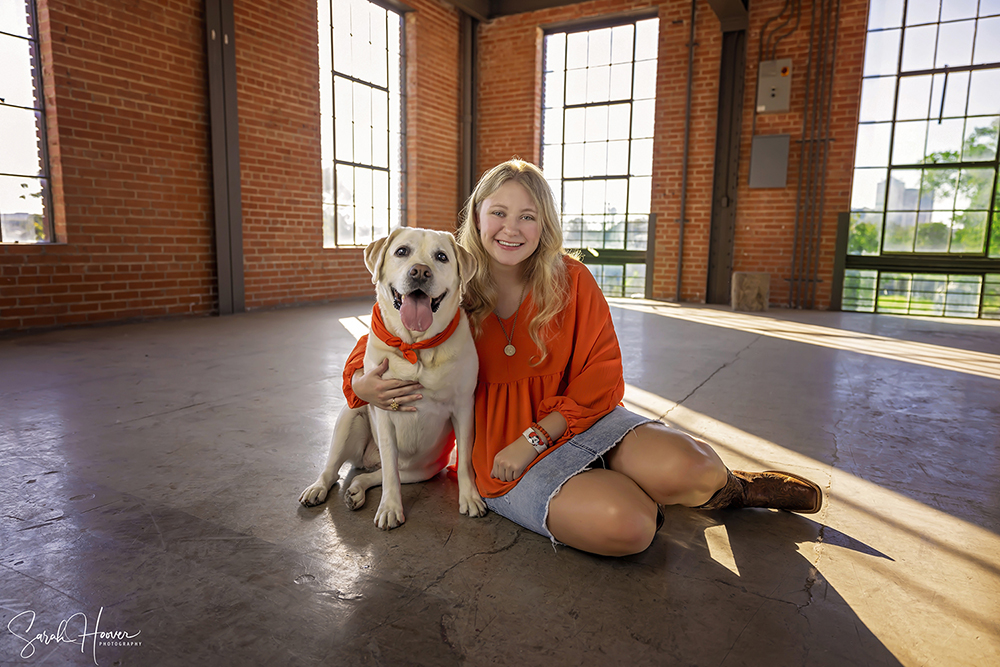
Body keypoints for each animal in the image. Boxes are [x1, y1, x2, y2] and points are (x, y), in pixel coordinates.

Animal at [296, 227, 484, 528]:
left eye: (441, 257)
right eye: (402, 251)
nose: (420, 272)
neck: (416, 347)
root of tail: (369, 460)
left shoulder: (464, 407)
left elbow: (465, 459)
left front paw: (470, 498)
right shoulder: (383, 414)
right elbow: (389, 475)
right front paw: (390, 508)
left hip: (420, 471)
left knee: (373, 474)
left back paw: (356, 490)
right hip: (351, 415)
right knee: (339, 469)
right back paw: (318, 488)